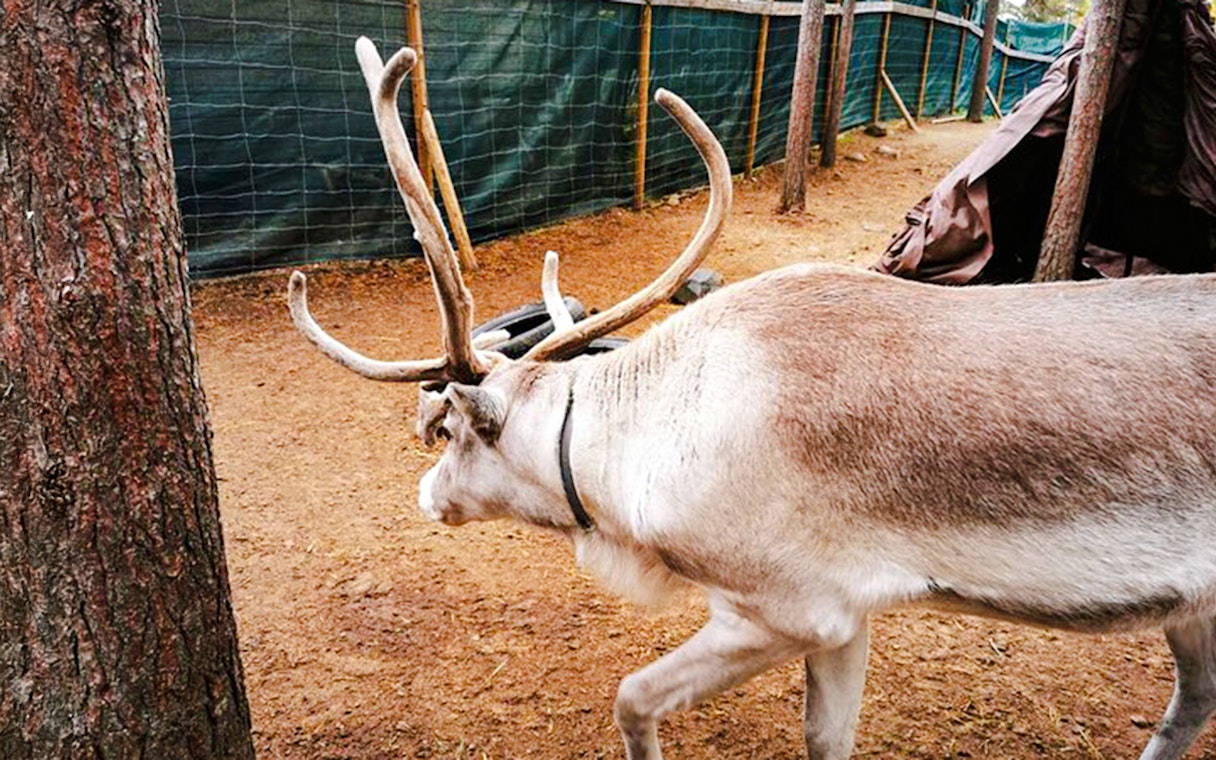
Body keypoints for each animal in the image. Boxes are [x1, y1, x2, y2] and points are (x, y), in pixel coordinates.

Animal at [287, 38, 1216, 760]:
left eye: (449, 431)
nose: (425, 494)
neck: (633, 450)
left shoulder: (786, 608)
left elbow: (632, 699)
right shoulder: (851, 614)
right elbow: (827, 737)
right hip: (1193, 614)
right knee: (1190, 705)